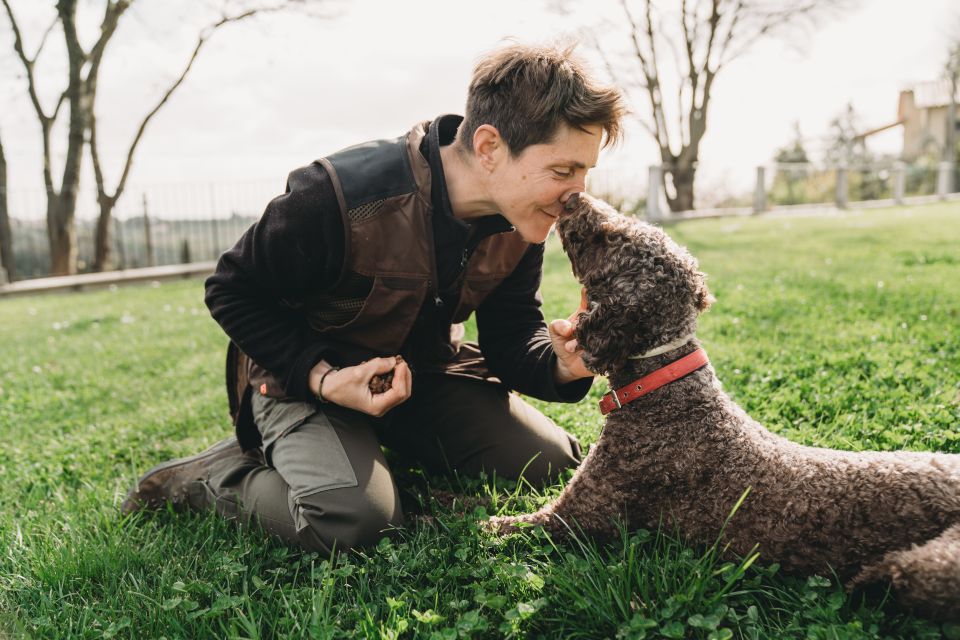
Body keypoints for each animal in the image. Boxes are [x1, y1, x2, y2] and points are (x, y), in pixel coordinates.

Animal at [488, 194, 960, 620]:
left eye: (611, 235)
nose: (571, 197)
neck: (670, 392)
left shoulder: (578, 515)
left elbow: (501, 524)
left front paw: (483, 525)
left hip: (926, 566)